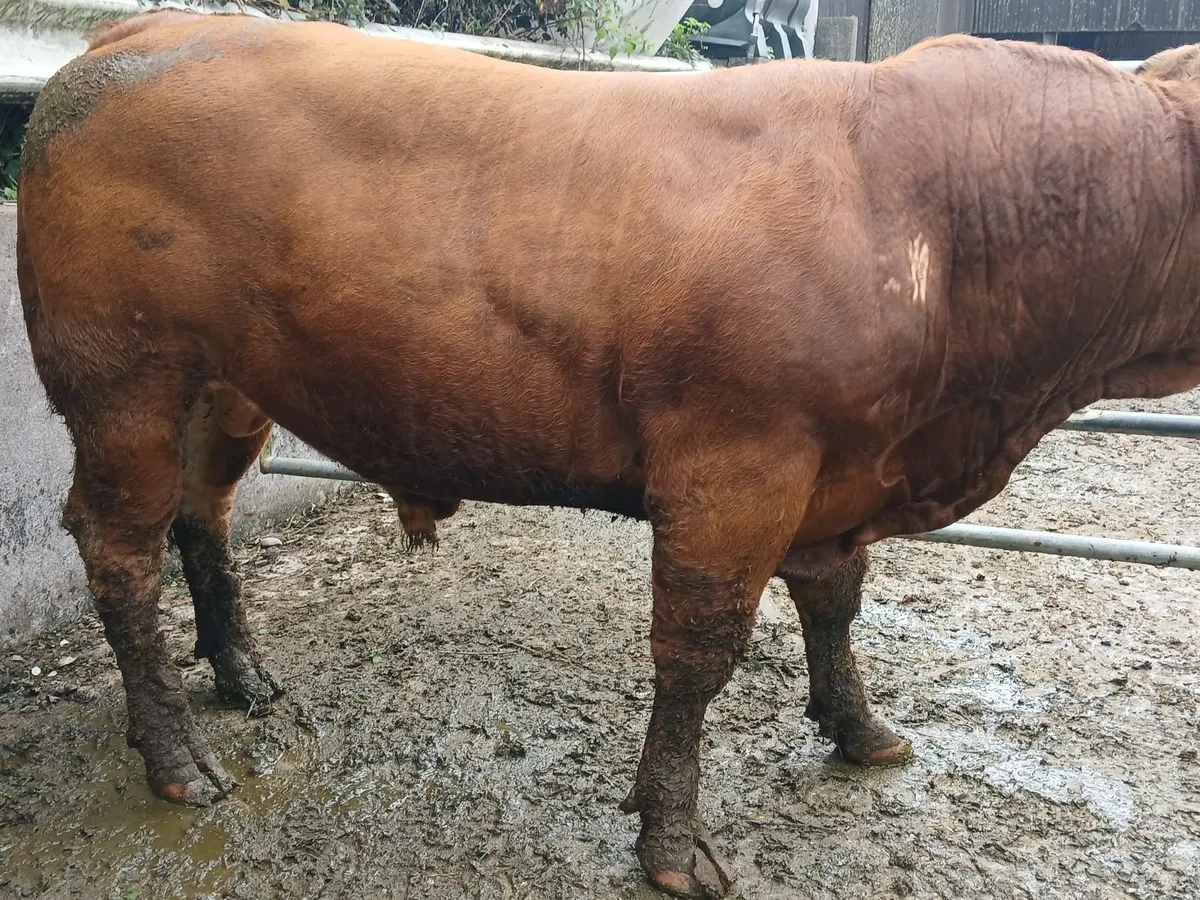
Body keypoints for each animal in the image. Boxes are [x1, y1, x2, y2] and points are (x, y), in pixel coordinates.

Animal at [16, 9, 1200, 897]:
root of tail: (138, 32)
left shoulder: (841, 471)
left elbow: (835, 602)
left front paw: (861, 732)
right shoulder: (737, 466)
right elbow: (701, 653)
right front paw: (672, 842)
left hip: (226, 391)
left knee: (201, 517)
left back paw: (243, 674)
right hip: (121, 383)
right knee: (119, 551)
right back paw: (179, 758)